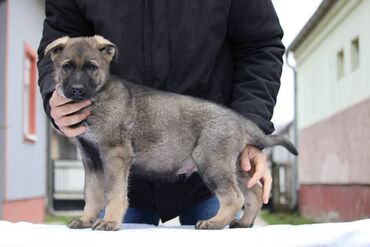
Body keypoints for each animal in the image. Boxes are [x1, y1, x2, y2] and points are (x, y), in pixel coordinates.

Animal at [44, 35, 298, 231]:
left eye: (91, 67)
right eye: (67, 67)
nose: (77, 90)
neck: (98, 96)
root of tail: (241, 120)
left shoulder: (115, 155)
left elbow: (115, 193)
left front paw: (110, 221)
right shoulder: (92, 159)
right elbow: (93, 194)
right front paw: (86, 219)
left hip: (211, 162)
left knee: (235, 197)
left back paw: (214, 223)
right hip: (234, 165)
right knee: (254, 192)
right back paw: (243, 223)